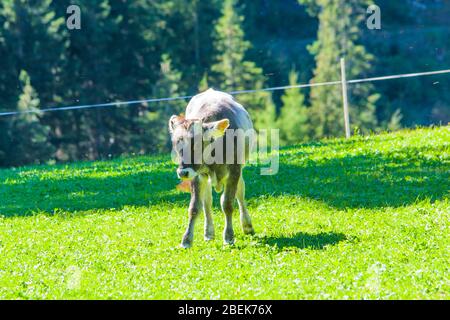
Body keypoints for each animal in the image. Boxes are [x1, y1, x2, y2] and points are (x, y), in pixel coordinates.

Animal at [169, 89, 255, 249]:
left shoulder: (234, 171)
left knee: (240, 193)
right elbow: (194, 207)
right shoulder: (197, 175)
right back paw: (209, 233)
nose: (183, 172)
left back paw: (247, 226)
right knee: (207, 202)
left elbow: (227, 203)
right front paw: (186, 240)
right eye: (175, 143)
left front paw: (229, 237)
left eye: (197, 144)